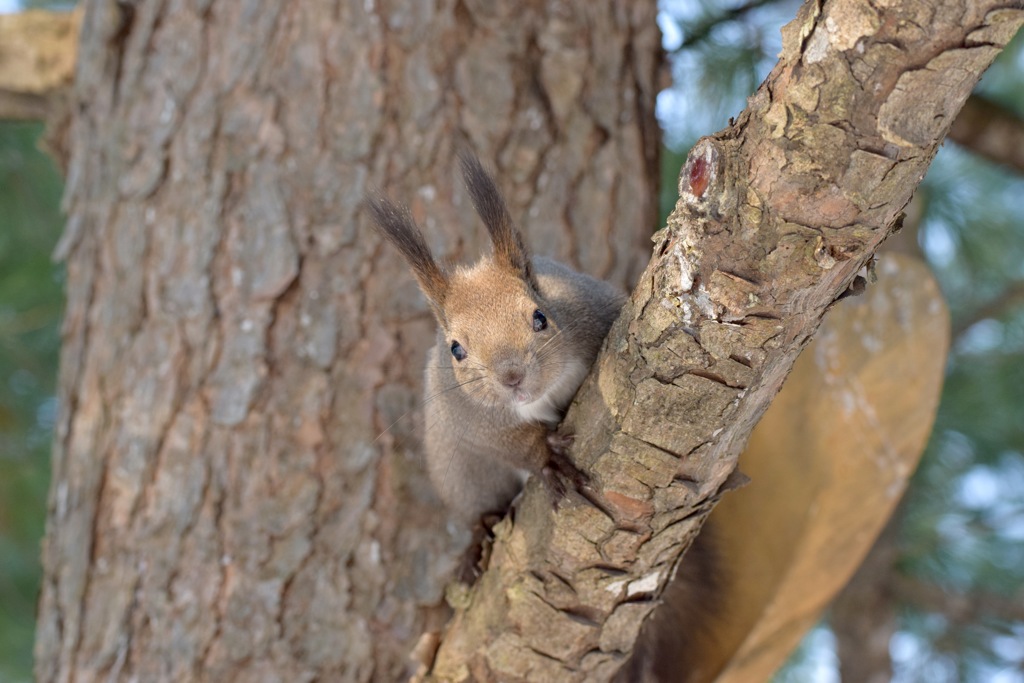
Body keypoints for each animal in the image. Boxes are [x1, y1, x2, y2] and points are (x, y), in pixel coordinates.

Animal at [368, 156, 622, 528]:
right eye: (456, 349)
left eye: (540, 317)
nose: (512, 377)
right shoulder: (468, 417)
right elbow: (510, 445)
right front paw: (547, 456)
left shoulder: (592, 310)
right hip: (466, 476)